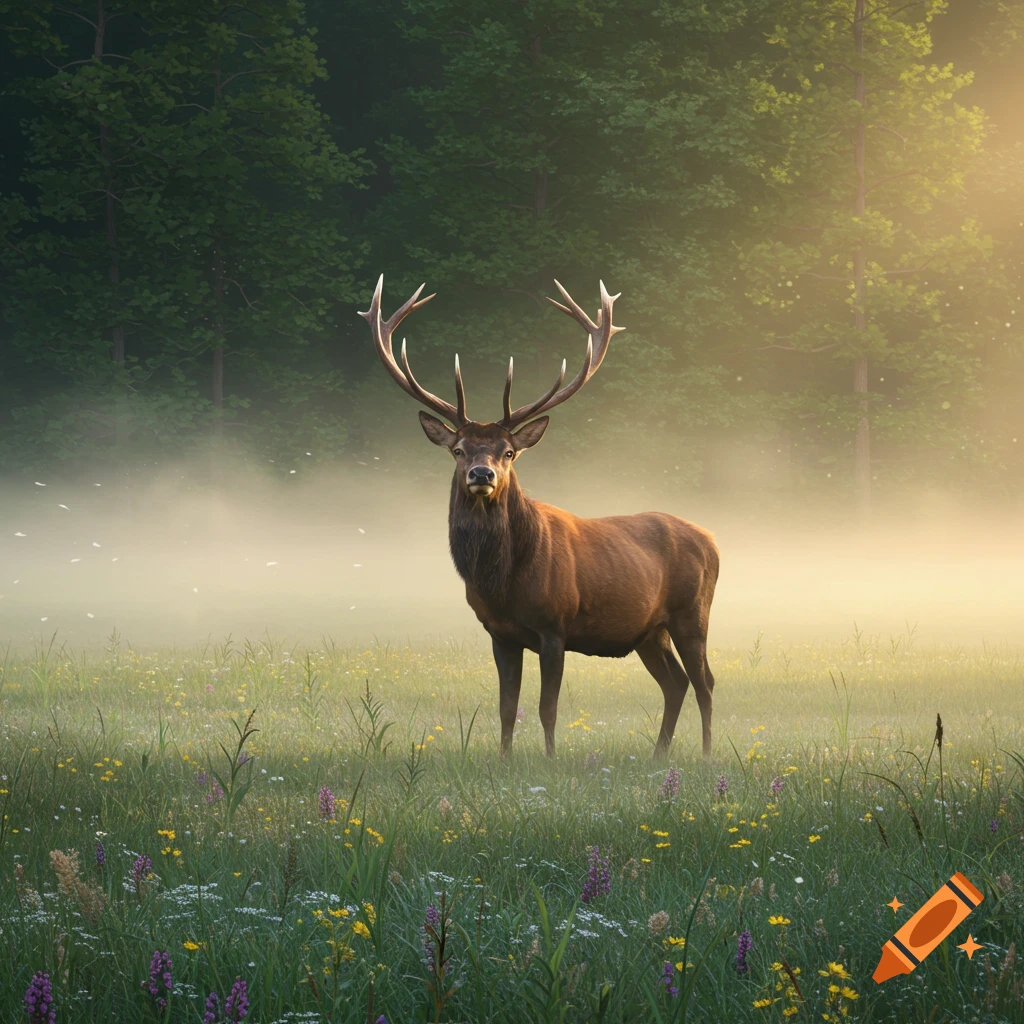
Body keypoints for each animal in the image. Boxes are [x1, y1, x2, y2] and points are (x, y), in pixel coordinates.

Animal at [358, 275, 719, 761]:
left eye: (509, 451)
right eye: (458, 450)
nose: (482, 474)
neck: (503, 583)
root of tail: (713, 541)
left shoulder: (555, 625)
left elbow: (548, 706)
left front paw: (549, 760)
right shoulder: (499, 633)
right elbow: (507, 707)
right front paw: (505, 760)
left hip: (692, 612)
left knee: (705, 683)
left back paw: (706, 755)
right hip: (649, 630)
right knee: (675, 682)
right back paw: (659, 755)